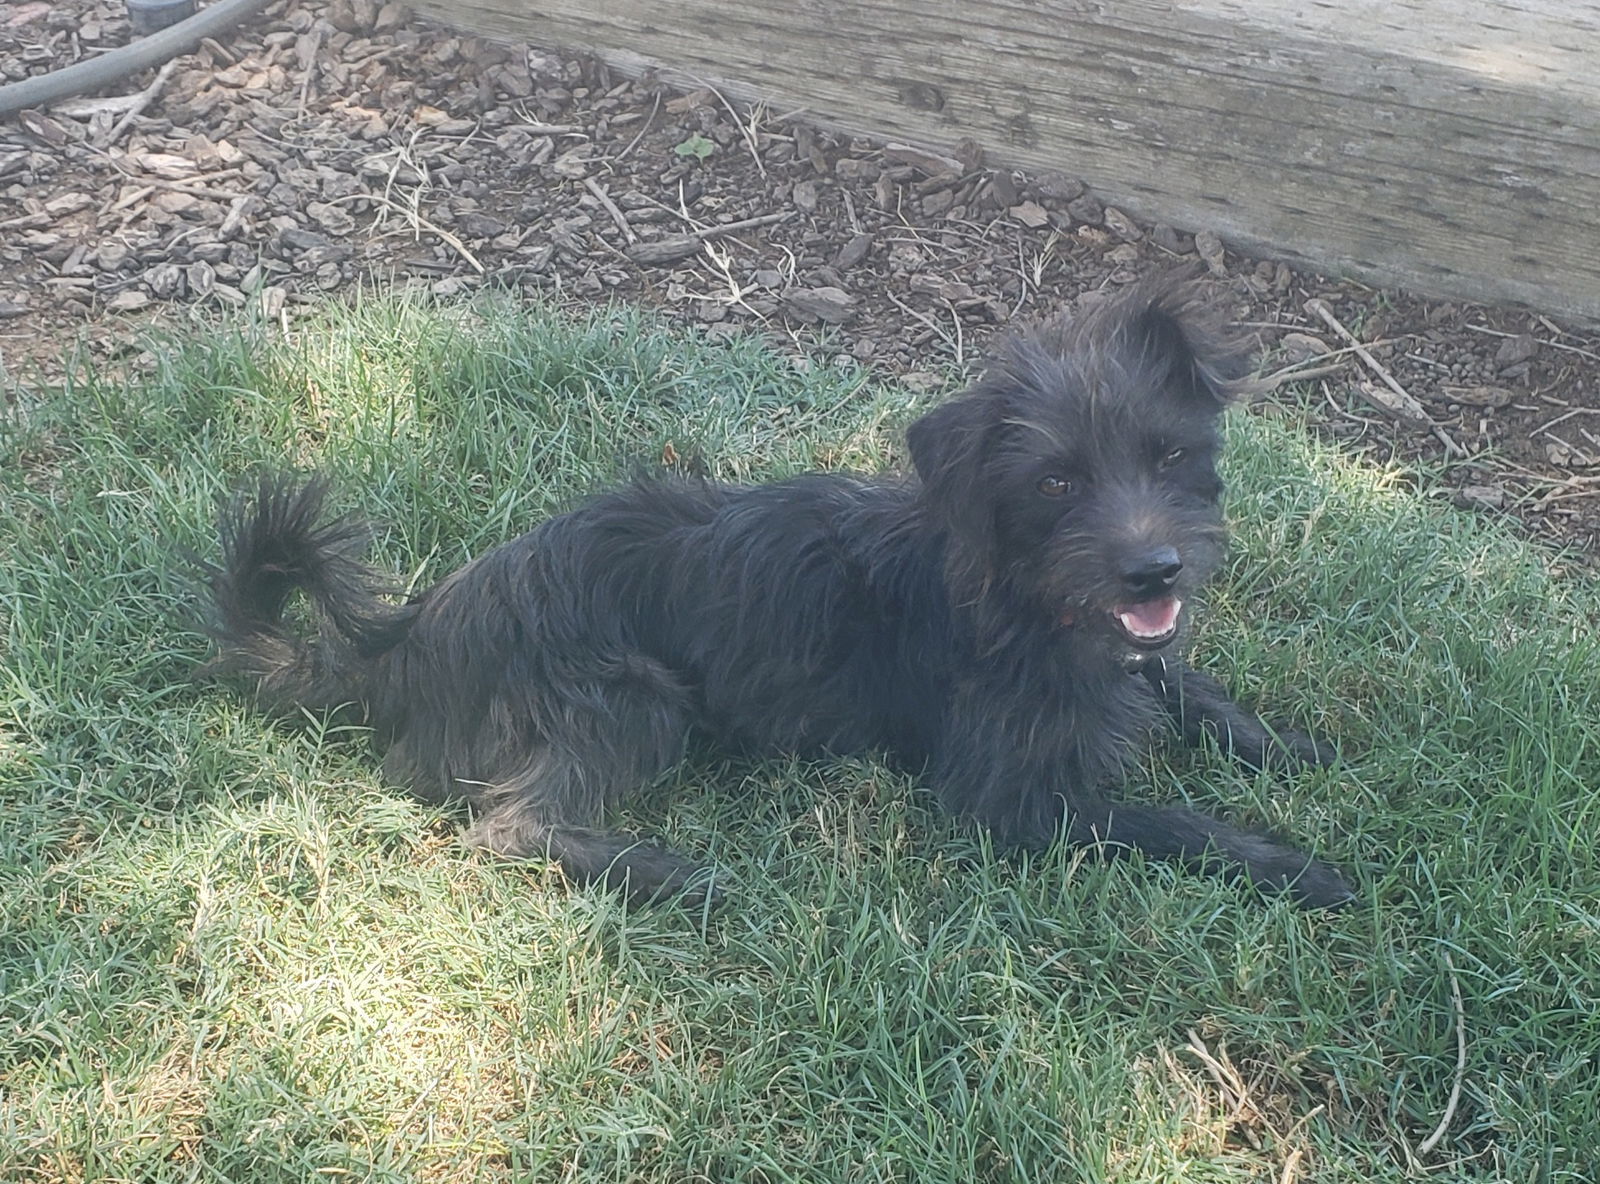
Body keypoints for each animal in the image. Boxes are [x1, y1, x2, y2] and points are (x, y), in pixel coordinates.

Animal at [200, 281, 1350, 908]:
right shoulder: (1011, 801)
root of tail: (413, 643)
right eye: (1056, 483)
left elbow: (1190, 688)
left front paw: (1291, 747)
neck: (1019, 594)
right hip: (627, 694)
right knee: (509, 825)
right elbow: (1168, 822)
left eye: (1171, 455)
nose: (1155, 570)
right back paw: (666, 873)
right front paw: (1293, 864)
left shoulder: (1142, 661)